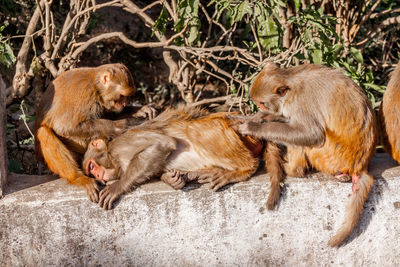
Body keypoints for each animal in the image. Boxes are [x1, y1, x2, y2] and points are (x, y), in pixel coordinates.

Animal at [34, 63, 155, 203]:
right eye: (122, 96)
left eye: (126, 97)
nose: (124, 103)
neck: (96, 87)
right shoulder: (84, 94)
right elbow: (65, 126)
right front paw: (121, 125)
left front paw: (139, 110)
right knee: (43, 132)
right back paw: (78, 178)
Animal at [238, 63, 378, 248]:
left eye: (262, 103)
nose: (260, 108)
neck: (290, 81)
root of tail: (360, 166)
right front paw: (262, 117)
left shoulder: (300, 103)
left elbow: (310, 134)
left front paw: (254, 127)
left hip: (328, 154)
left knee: (307, 139)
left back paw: (292, 169)